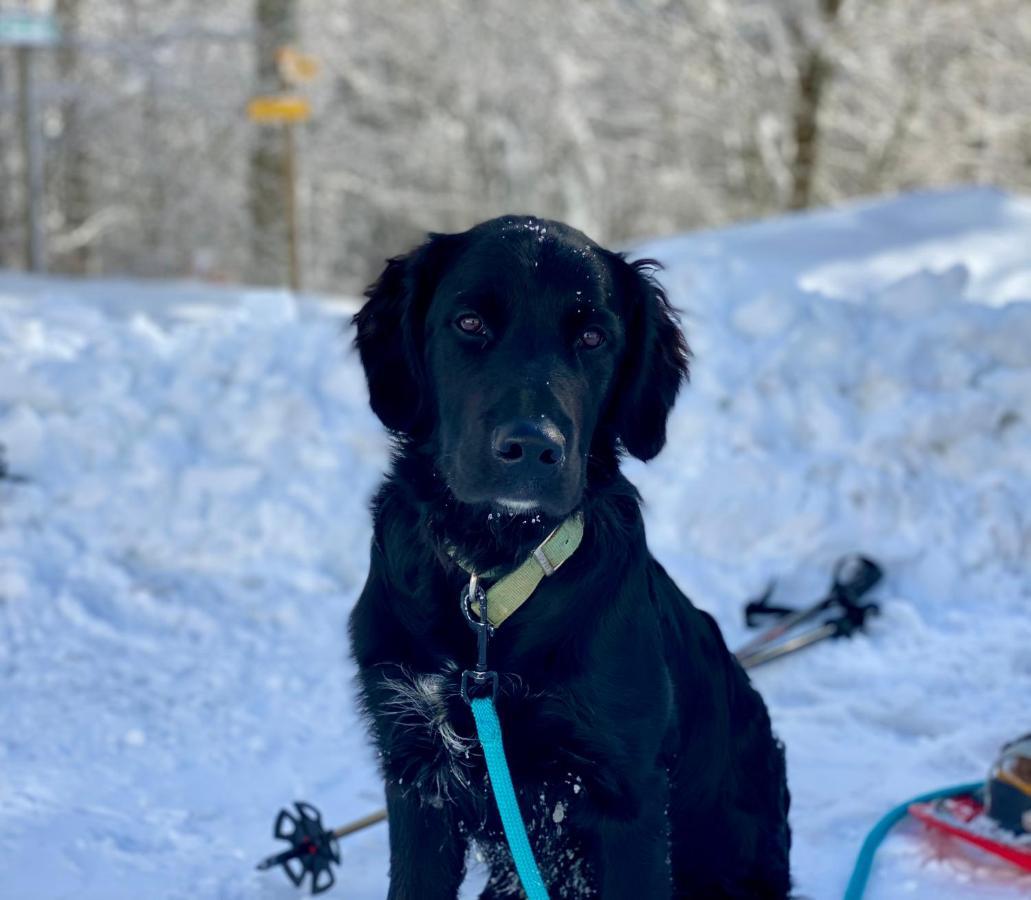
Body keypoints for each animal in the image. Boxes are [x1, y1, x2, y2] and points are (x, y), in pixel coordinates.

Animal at [348, 214, 787, 894]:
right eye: (468, 322)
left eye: (592, 336)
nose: (532, 447)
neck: (494, 575)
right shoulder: (415, 769)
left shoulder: (628, 790)